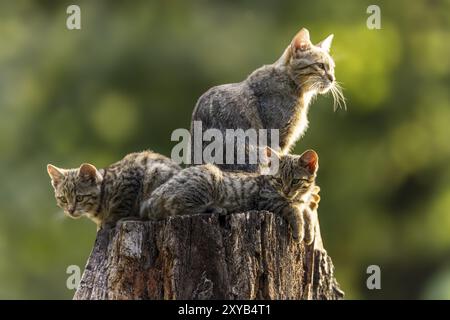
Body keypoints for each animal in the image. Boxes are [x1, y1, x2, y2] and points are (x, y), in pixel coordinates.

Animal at [46, 151, 179, 229]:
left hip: (157, 174)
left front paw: (110, 221)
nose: (70, 210)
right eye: (63, 199)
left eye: (79, 198)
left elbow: (121, 203)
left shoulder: (130, 177)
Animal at [141, 149, 320, 244]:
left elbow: (307, 213)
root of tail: (153, 196)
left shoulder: (301, 203)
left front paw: (309, 232)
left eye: (295, 181)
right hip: (207, 177)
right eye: (279, 180)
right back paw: (216, 208)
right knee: (177, 207)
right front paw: (300, 231)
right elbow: (292, 209)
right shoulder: (267, 200)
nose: (286, 191)